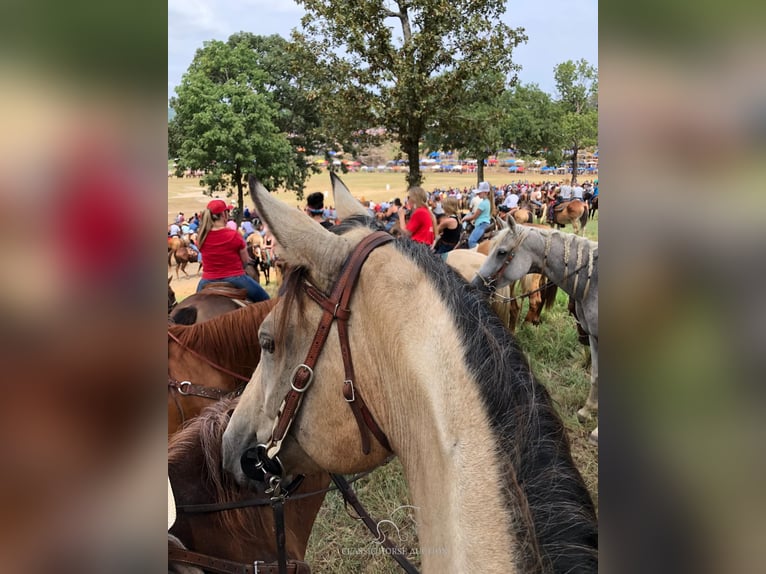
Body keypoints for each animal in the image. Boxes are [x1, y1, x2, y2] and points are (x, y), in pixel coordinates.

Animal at [474, 218, 600, 448]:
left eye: (502, 252)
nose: (475, 283)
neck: (593, 281)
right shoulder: (594, 337)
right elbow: (595, 375)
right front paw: (587, 411)